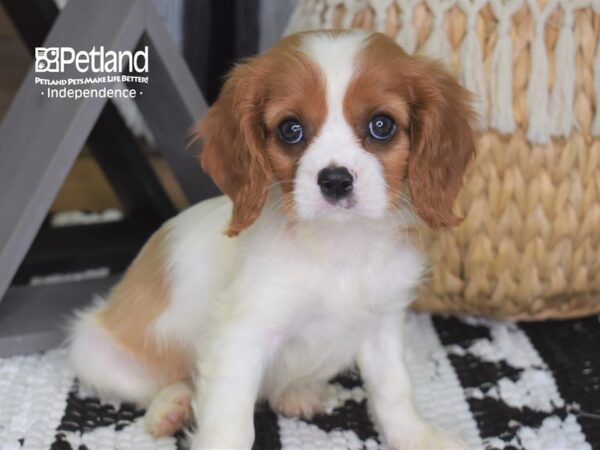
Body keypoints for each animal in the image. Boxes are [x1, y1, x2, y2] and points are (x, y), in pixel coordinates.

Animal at [69, 29, 474, 448]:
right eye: (290, 129)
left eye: (382, 125)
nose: (335, 181)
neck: (340, 245)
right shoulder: (242, 334)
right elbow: (229, 423)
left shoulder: (383, 322)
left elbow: (393, 388)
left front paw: (416, 435)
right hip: (96, 352)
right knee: (159, 385)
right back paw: (171, 407)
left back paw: (297, 393)